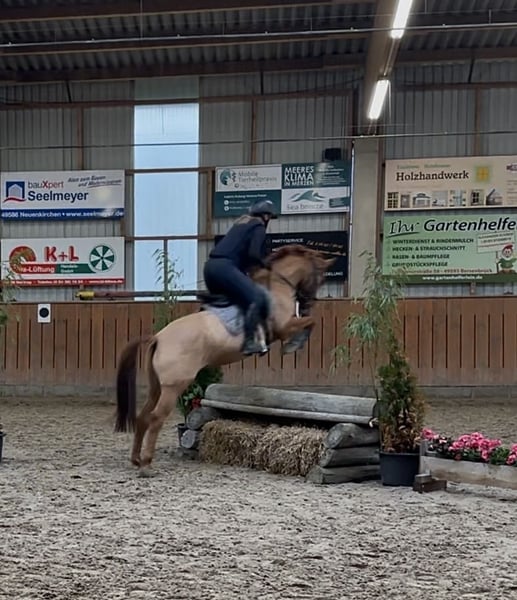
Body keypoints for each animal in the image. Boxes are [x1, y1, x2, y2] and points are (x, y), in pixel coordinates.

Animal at [114, 244, 335, 473]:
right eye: (320, 278)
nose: (308, 303)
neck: (276, 286)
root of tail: (158, 337)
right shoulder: (283, 327)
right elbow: (310, 322)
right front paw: (294, 345)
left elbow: (309, 322)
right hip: (173, 386)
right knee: (156, 417)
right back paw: (146, 464)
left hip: (158, 386)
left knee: (143, 416)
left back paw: (136, 459)